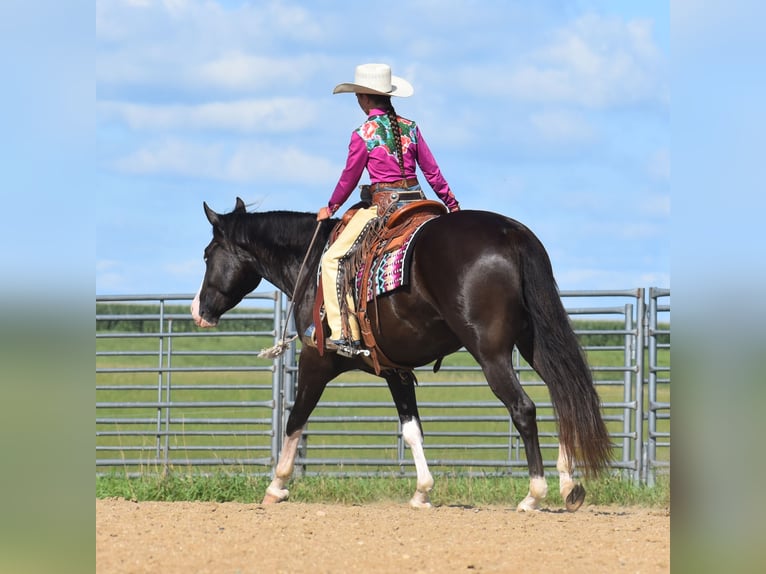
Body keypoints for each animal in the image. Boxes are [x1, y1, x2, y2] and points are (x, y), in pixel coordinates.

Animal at [191, 197, 612, 511]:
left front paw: (276, 485)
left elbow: (295, 419)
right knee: (563, 395)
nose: (198, 311)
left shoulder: (316, 361)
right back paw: (569, 486)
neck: (311, 267)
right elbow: (411, 429)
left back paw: (533, 494)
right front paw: (422, 491)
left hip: (491, 352)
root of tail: (512, 233)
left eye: (208, 254)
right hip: (533, 342)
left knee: (523, 408)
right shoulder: (395, 369)